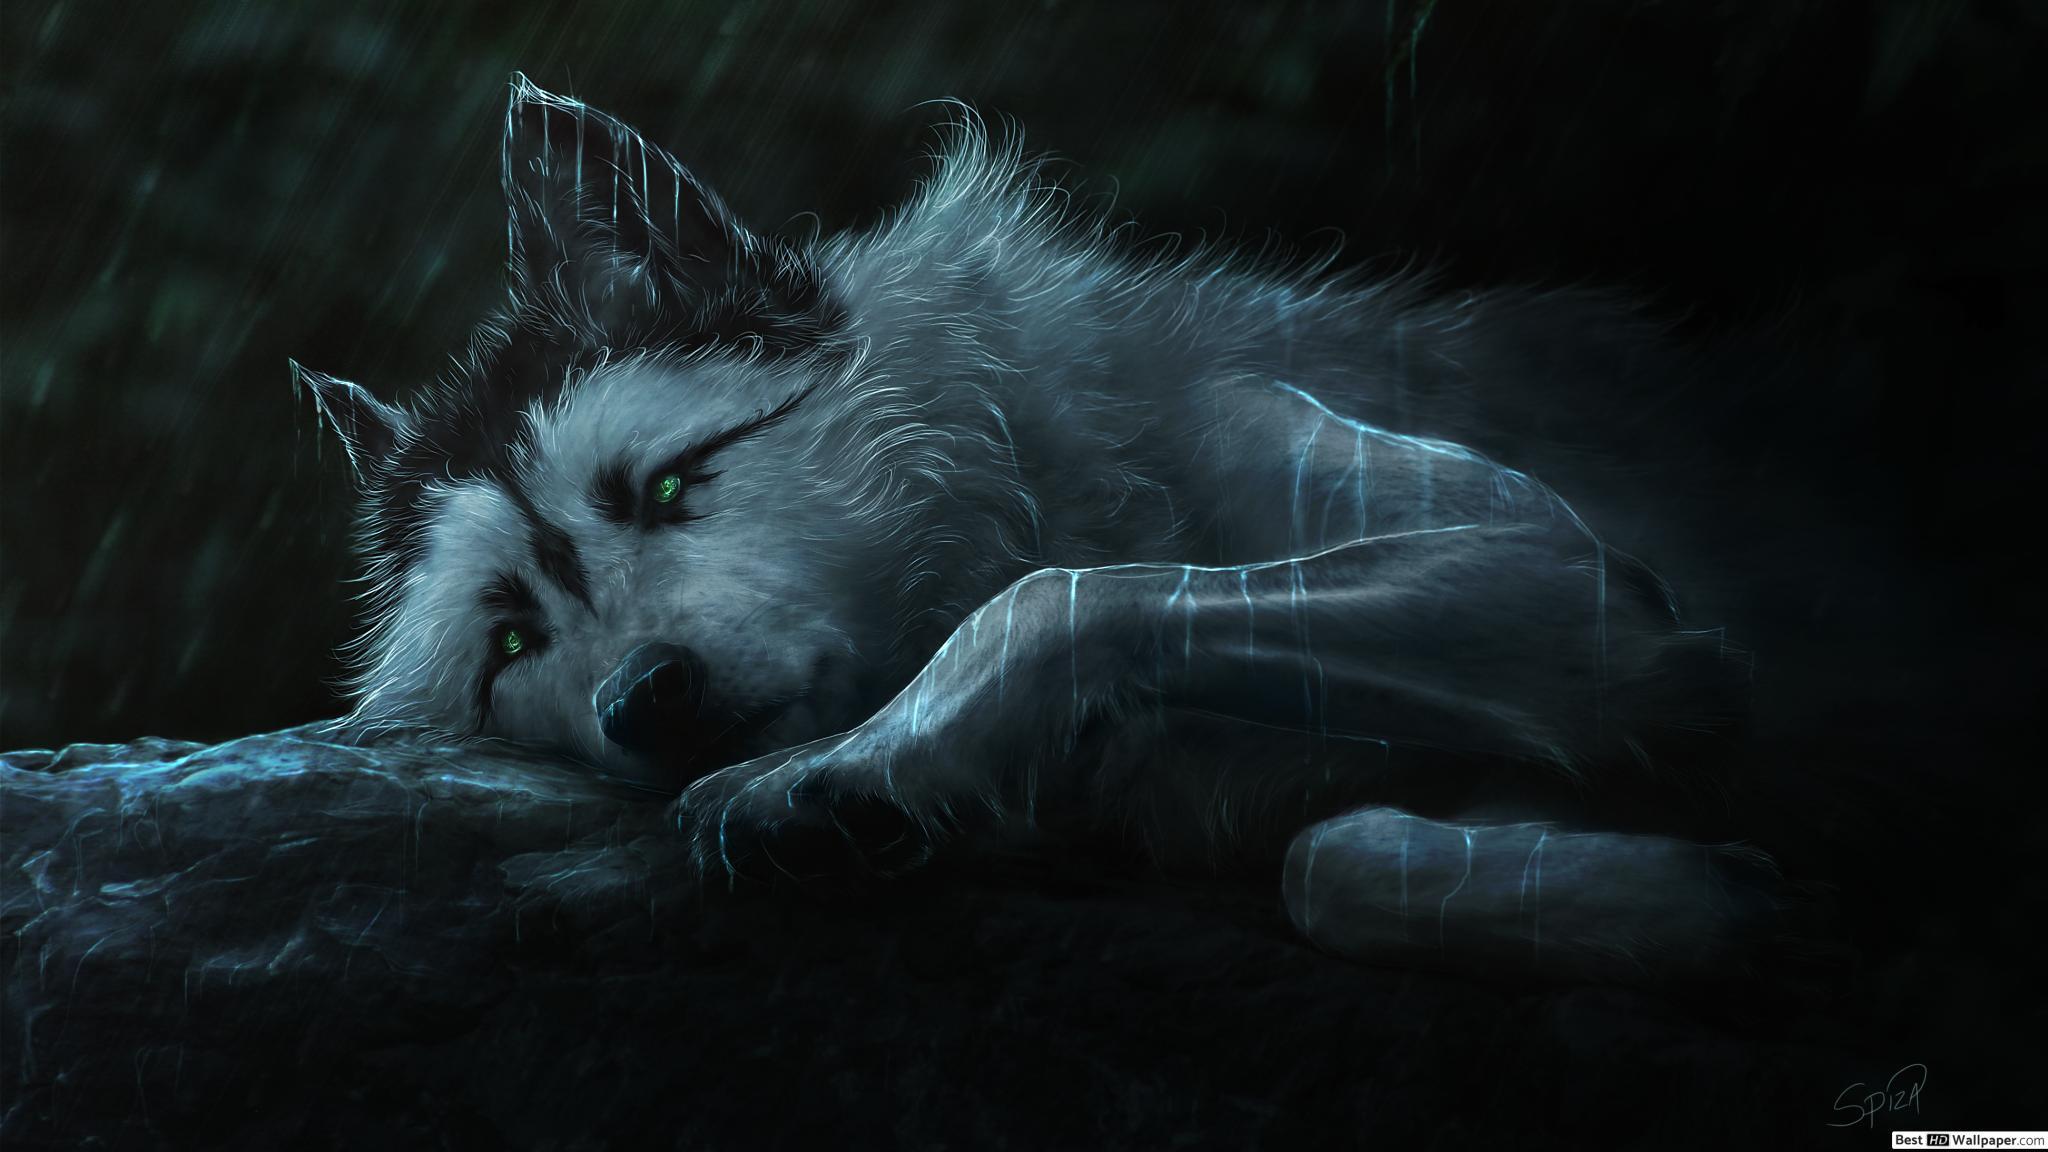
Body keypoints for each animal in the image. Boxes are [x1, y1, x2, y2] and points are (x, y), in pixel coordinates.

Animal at [297, 75, 1771, 983]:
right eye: (511, 644)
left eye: (666, 487)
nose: (645, 697)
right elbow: (1334, 858)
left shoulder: (1564, 578)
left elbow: (1065, 600)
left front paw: (840, 771)